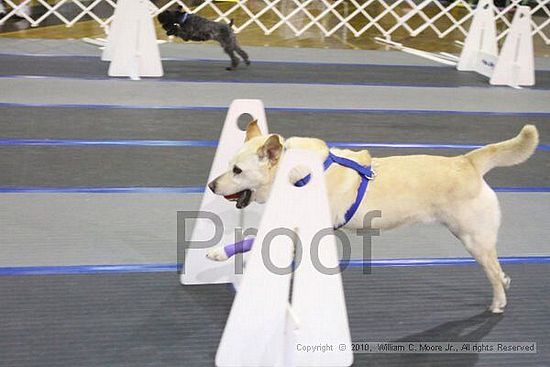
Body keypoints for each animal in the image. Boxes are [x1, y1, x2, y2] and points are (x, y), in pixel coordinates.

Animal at [207, 123, 540, 314]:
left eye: (237, 171)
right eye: (228, 165)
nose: (210, 185)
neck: (297, 174)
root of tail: (467, 161)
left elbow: (256, 240)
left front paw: (218, 253)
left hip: (473, 238)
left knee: (493, 270)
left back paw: (498, 302)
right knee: (497, 267)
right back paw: (506, 284)